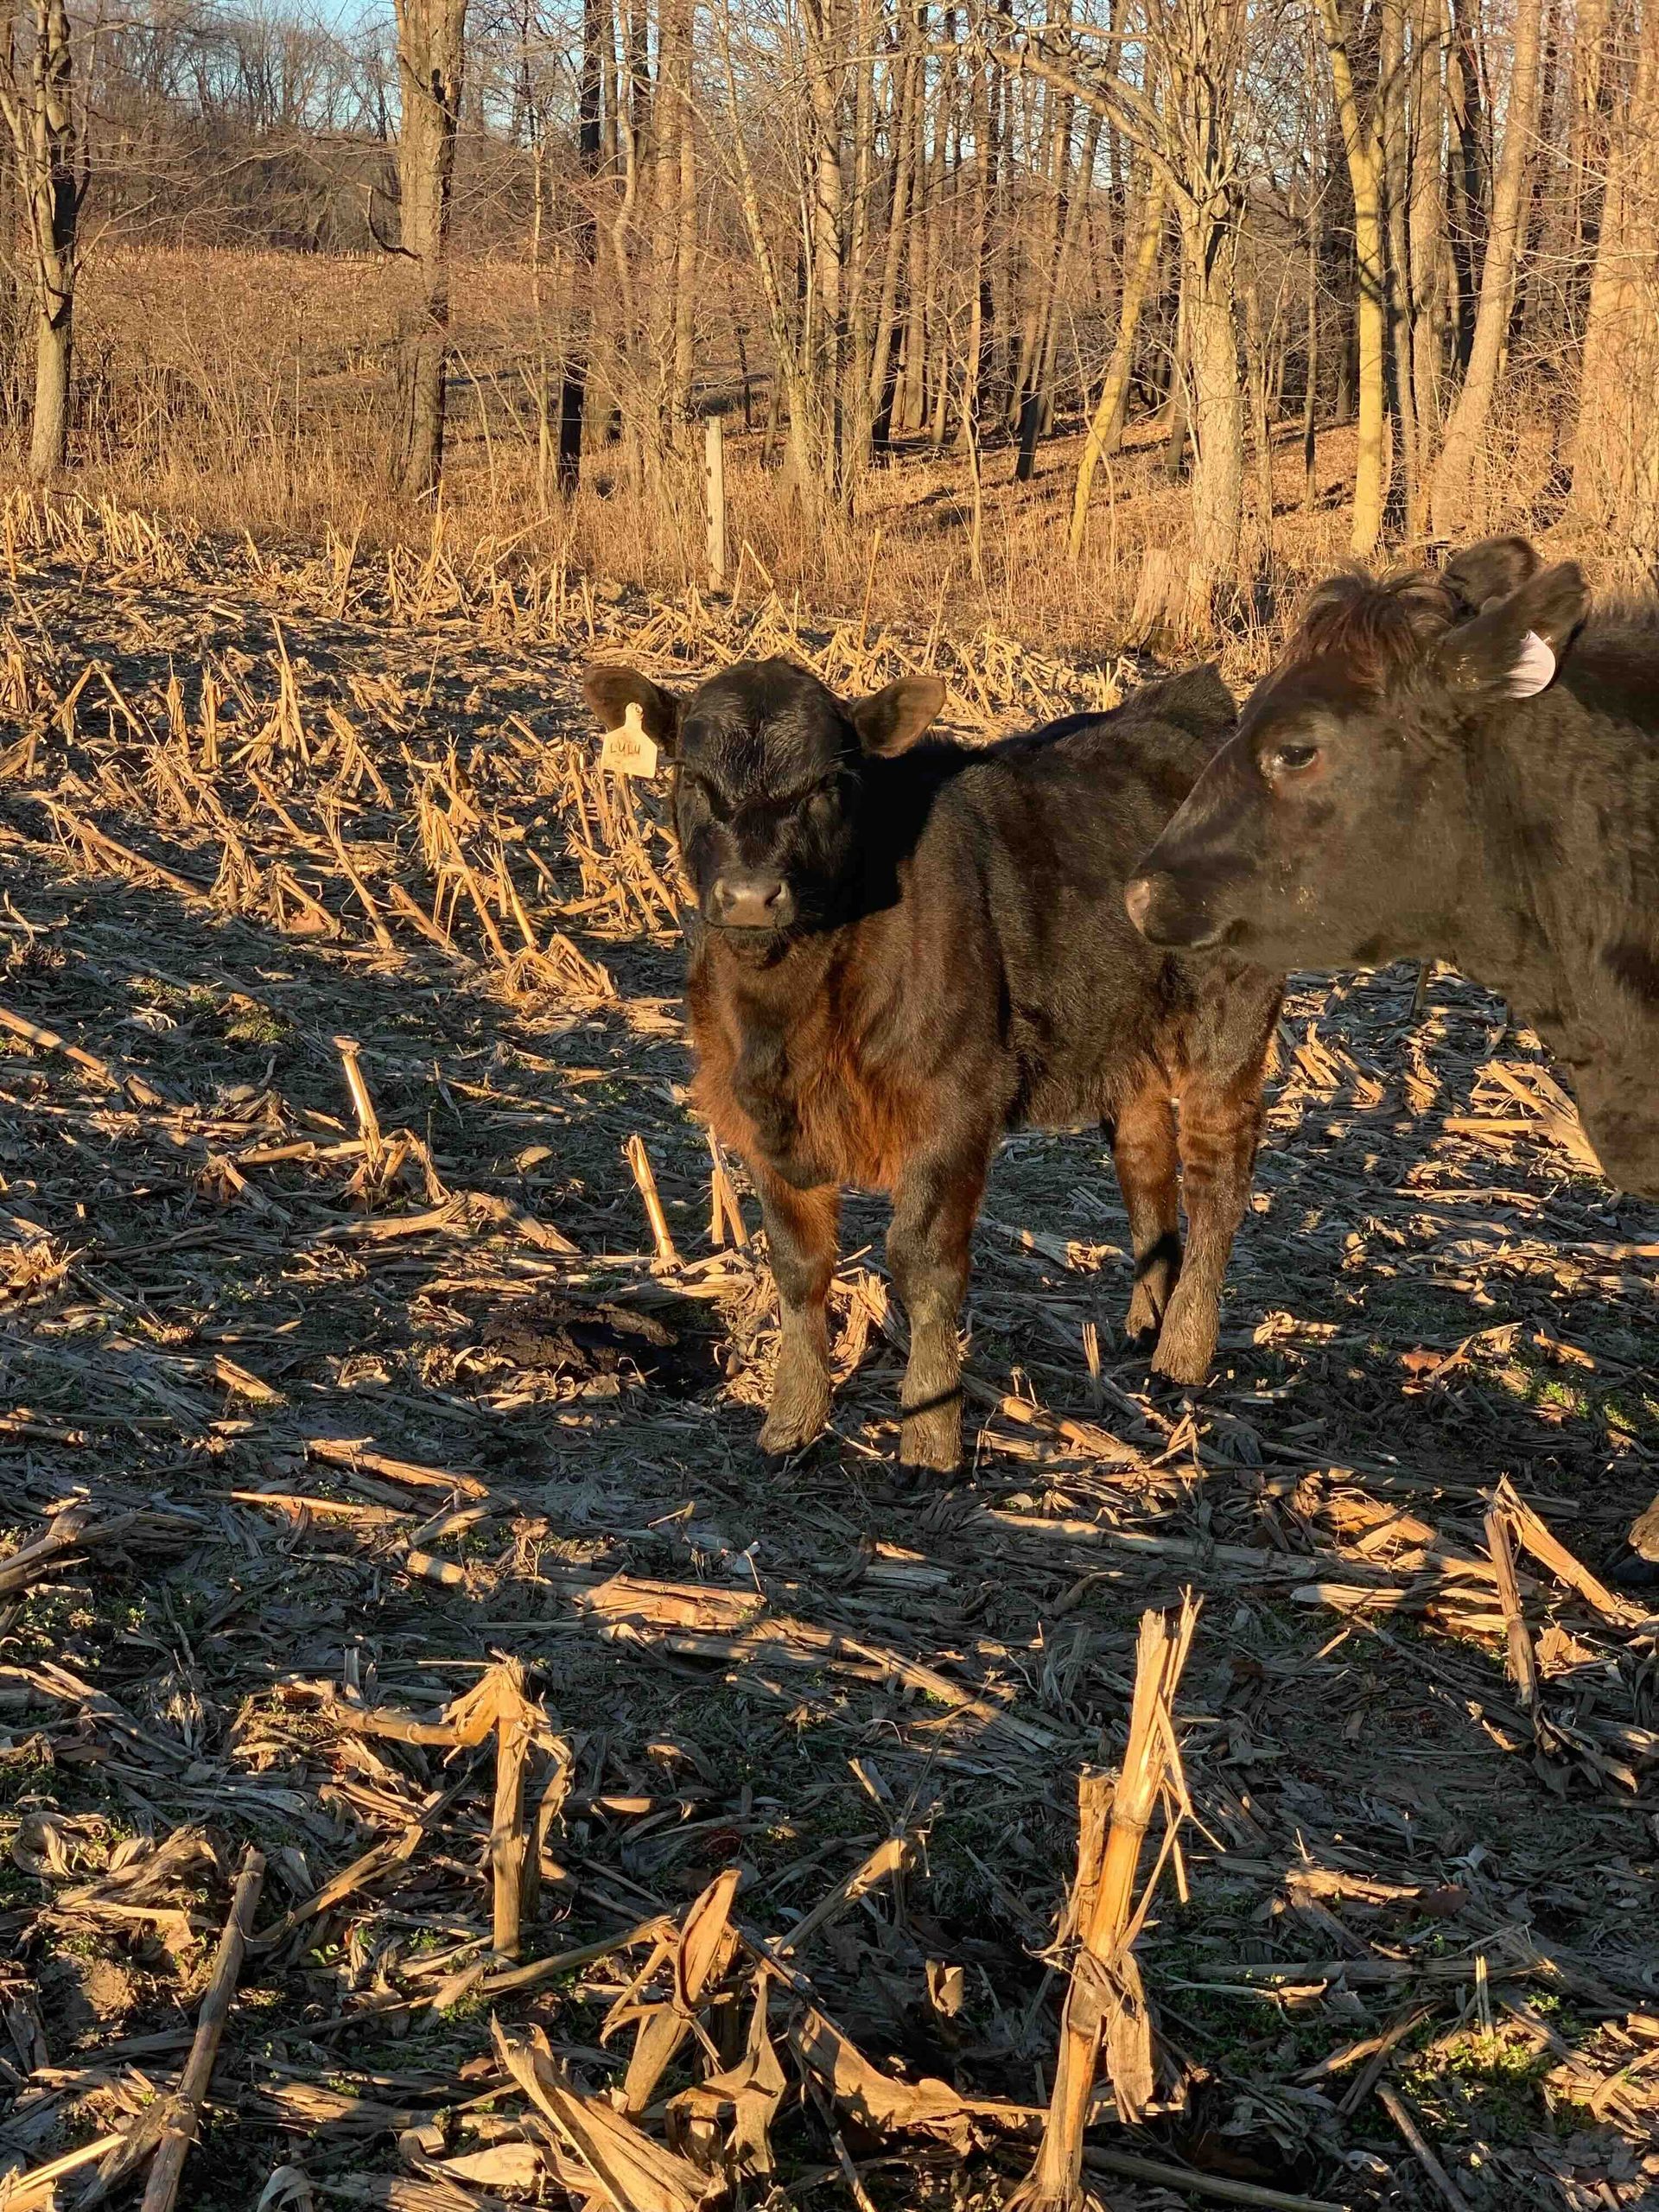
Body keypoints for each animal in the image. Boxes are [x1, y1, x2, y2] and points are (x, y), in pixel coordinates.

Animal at [582, 655, 1284, 1473]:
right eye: (690, 777)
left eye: (828, 783)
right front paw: (792, 1419)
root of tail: (1192, 703)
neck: (789, 1006)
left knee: (1216, 1178)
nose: (752, 896)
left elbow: (923, 1264)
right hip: (1123, 1036)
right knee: (1145, 1163)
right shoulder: (764, 1118)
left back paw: (1183, 1352)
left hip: (1229, 1028)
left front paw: (929, 1432)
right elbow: (797, 1264)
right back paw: (1147, 1325)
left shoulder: (954, 1104)